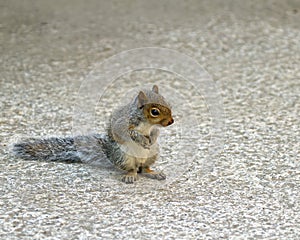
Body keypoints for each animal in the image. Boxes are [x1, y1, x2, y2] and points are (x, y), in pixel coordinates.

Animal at [12, 85, 175, 183]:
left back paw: (153, 172)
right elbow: (128, 133)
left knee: (144, 168)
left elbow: (155, 132)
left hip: (152, 155)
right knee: (133, 169)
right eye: (155, 111)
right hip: (124, 157)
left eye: (168, 103)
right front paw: (142, 140)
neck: (147, 123)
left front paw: (152, 139)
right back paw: (130, 175)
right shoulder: (123, 124)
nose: (171, 121)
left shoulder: (153, 129)